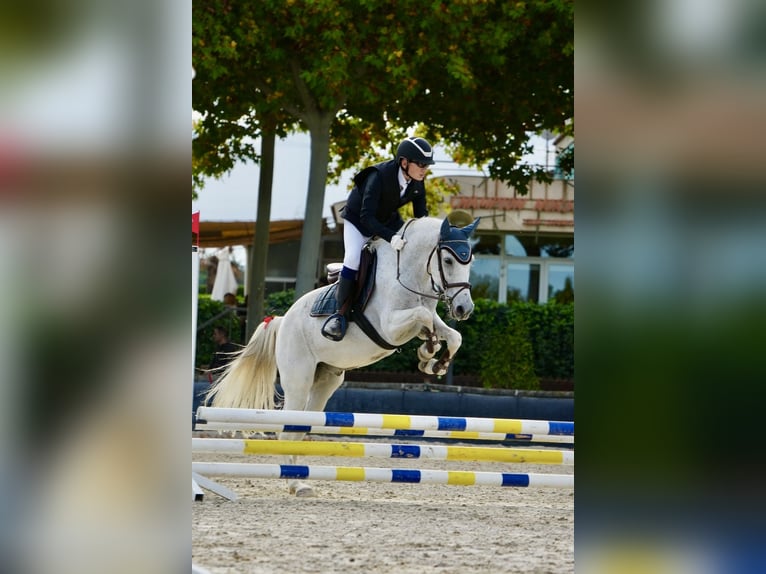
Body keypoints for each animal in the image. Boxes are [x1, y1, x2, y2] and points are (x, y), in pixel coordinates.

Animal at [205, 215, 479, 496]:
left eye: (470, 261)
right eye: (448, 261)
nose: (464, 309)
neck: (409, 274)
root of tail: (282, 320)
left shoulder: (426, 318)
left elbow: (451, 335)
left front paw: (434, 361)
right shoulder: (390, 327)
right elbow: (424, 318)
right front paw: (429, 351)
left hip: (325, 382)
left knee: (299, 430)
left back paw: (299, 481)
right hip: (298, 381)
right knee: (288, 431)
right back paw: (293, 483)